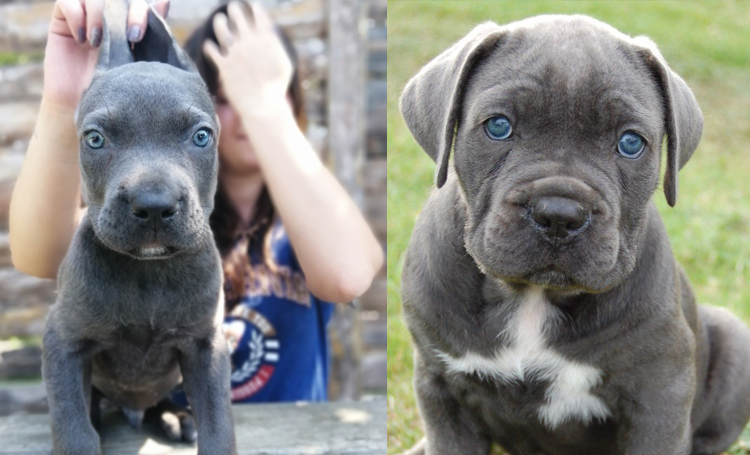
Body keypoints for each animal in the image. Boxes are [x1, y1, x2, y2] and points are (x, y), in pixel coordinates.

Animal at [42, 1, 235, 454]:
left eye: (202, 137)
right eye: (95, 139)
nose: (153, 206)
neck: (149, 271)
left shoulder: (208, 345)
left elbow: (219, 425)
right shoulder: (63, 340)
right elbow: (73, 426)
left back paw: (174, 417)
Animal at [402, 14, 750, 455]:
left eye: (631, 142)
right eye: (498, 126)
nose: (559, 215)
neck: (533, 296)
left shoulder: (659, 392)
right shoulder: (442, 387)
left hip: (735, 341)